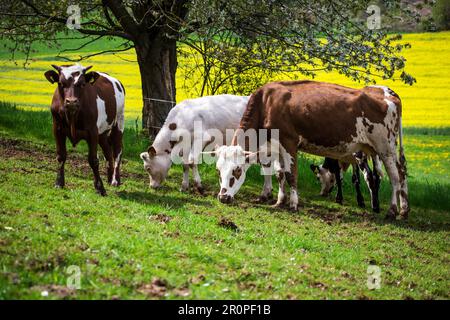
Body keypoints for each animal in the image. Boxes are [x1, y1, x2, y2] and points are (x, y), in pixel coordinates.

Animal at [44, 63, 125, 195]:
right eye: (61, 83)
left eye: (82, 84)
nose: (71, 102)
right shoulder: (57, 129)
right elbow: (61, 156)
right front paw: (59, 183)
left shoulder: (92, 132)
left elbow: (93, 160)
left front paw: (100, 188)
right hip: (102, 132)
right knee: (107, 152)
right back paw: (109, 178)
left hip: (118, 122)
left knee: (117, 150)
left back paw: (115, 180)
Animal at [141, 94, 274, 199]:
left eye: (148, 168)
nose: (152, 186)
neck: (181, 117)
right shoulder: (185, 143)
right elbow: (185, 164)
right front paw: (184, 186)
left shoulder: (202, 137)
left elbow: (191, 161)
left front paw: (199, 187)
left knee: (266, 163)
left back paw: (266, 193)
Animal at [214, 80, 408, 220]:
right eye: (218, 171)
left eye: (237, 170)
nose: (223, 198)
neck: (267, 103)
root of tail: (390, 96)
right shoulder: (276, 146)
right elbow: (280, 174)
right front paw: (279, 201)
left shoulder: (289, 142)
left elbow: (291, 174)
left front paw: (293, 204)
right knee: (402, 171)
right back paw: (404, 210)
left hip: (385, 148)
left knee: (395, 177)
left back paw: (392, 211)